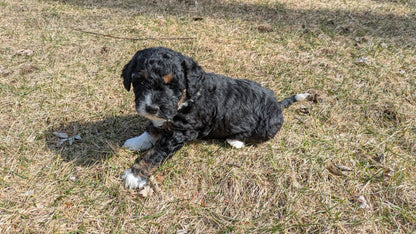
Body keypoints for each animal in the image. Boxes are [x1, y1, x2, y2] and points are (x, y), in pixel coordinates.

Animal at [120, 47, 308, 188]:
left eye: (172, 85)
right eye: (140, 82)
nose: (151, 108)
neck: (188, 97)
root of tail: (277, 104)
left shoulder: (182, 131)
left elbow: (157, 152)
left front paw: (135, 174)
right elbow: (152, 129)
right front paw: (137, 141)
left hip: (266, 127)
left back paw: (235, 141)